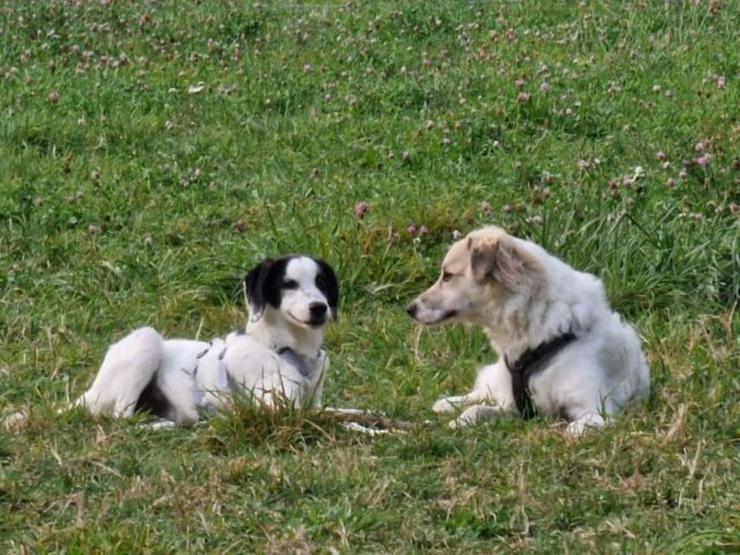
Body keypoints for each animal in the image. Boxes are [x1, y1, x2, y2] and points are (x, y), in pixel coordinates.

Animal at [72, 255, 342, 426]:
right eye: (289, 284)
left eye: (322, 282)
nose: (319, 308)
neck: (288, 349)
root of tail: (89, 394)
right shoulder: (281, 411)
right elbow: (334, 422)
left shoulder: (313, 406)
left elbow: (341, 413)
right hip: (146, 338)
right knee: (120, 416)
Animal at [408, 226, 652, 434]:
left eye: (447, 275)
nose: (410, 309)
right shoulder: (513, 406)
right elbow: (476, 410)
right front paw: (459, 419)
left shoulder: (597, 408)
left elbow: (578, 427)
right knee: (482, 392)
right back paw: (448, 403)